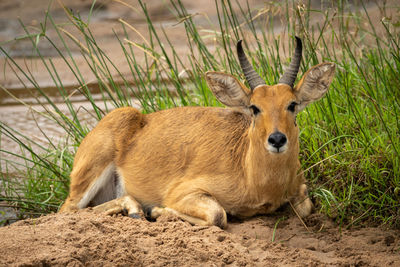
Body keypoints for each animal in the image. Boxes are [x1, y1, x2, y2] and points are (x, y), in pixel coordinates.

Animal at [59, 37, 334, 230]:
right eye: (254, 107)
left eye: (292, 104)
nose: (277, 139)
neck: (255, 178)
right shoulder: (182, 192)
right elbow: (218, 215)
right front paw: (156, 211)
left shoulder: (299, 191)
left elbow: (306, 206)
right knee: (67, 210)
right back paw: (136, 209)